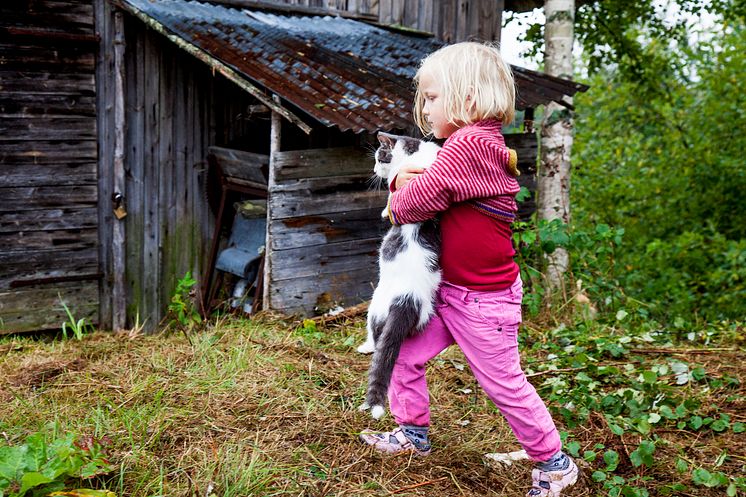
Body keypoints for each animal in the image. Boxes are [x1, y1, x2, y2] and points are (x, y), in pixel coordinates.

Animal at [358, 133, 438, 418]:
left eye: (379, 157)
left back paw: (366, 347)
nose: (373, 170)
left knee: (376, 338)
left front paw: (386, 209)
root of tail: (407, 298)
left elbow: (393, 196)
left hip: (374, 307)